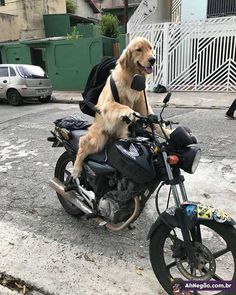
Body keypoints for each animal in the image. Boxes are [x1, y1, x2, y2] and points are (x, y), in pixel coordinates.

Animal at [71, 37, 171, 180]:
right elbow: (122, 106)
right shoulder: (108, 104)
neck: (131, 77)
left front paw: (167, 132)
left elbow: (153, 121)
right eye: (138, 49)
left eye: (150, 48)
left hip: (123, 133)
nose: (153, 59)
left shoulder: (141, 102)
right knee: (83, 144)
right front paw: (130, 113)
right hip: (98, 139)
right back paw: (76, 169)